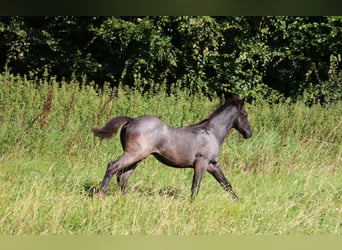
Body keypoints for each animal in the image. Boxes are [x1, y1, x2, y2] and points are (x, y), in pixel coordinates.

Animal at [92, 95, 252, 201]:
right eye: (245, 114)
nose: (249, 133)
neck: (211, 133)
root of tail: (132, 120)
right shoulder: (201, 163)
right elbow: (196, 185)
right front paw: (192, 204)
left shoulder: (212, 165)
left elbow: (226, 184)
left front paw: (239, 202)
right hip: (134, 154)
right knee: (113, 167)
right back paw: (101, 195)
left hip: (137, 157)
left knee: (123, 176)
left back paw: (125, 199)